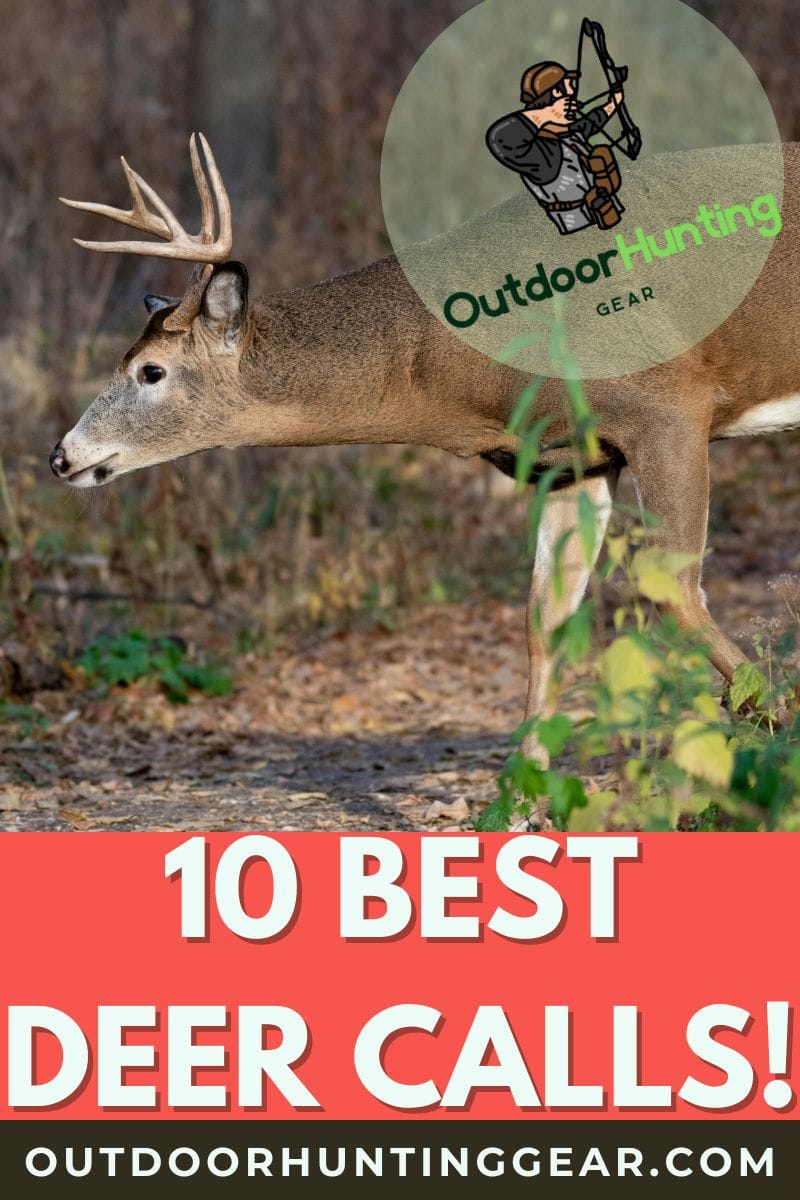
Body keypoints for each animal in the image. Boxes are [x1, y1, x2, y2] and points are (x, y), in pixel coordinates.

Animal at [51, 134, 800, 791]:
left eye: (151, 371)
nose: (62, 456)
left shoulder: (669, 408)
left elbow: (673, 589)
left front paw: (778, 720)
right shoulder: (570, 458)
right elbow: (544, 617)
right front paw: (519, 797)